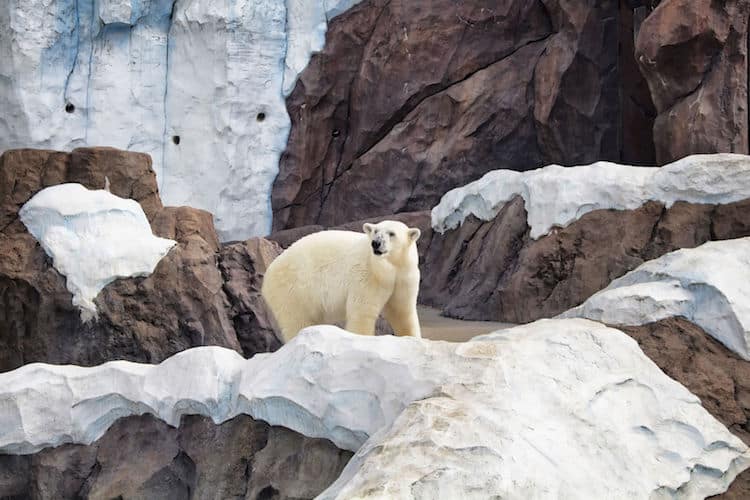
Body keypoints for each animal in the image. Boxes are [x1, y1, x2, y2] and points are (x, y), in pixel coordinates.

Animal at [262, 221, 424, 342]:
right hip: (294, 289)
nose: (376, 243)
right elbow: (362, 311)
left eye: (391, 233)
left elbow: (402, 311)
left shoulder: (404, 276)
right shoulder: (368, 275)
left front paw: (412, 339)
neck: (388, 267)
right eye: (375, 231)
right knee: (297, 320)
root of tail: (268, 275)